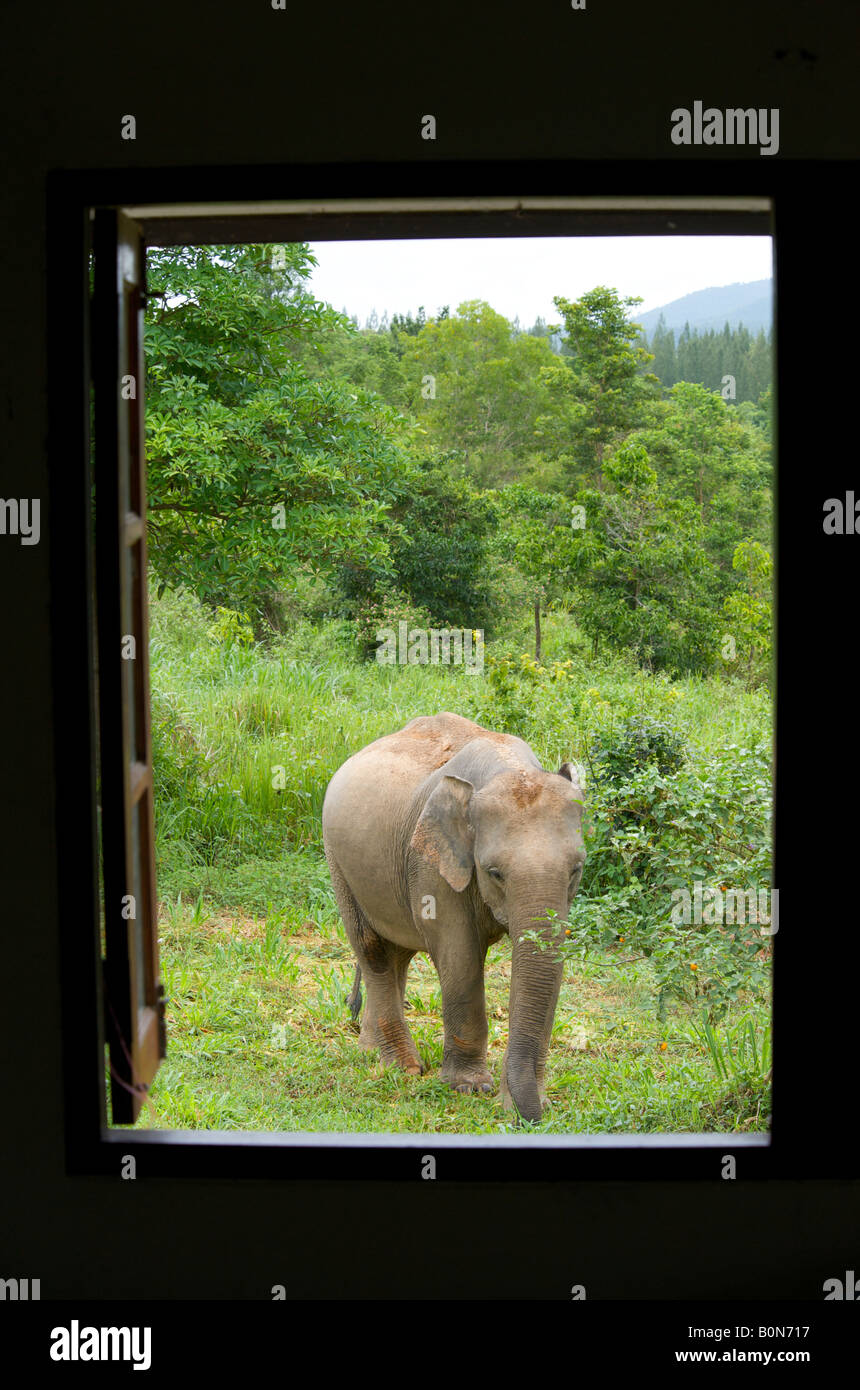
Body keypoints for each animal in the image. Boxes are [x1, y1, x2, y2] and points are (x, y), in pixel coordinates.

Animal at [322, 711, 586, 1123]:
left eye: (576, 869)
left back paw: (370, 1052)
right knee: (371, 948)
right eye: (494, 873)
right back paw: (401, 1067)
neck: (507, 766)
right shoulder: (431, 861)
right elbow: (459, 958)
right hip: (338, 862)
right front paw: (469, 1087)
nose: (528, 1114)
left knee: (397, 954)